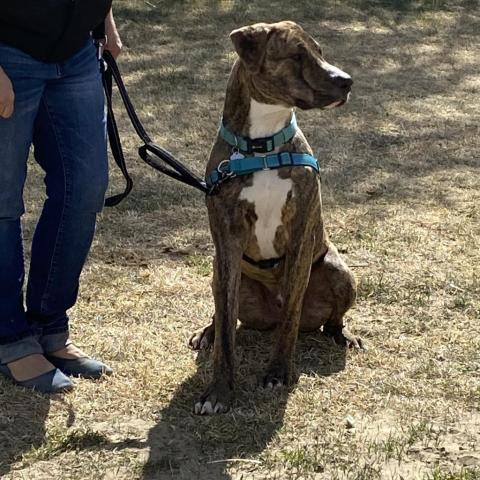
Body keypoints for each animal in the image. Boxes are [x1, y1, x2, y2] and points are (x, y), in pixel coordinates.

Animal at [189, 20, 362, 414]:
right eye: (296, 55)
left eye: (319, 51)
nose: (346, 80)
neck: (262, 147)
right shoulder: (227, 240)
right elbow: (226, 333)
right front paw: (219, 391)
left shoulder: (300, 236)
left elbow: (290, 320)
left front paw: (278, 372)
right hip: (220, 274)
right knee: (223, 314)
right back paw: (207, 333)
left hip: (338, 271)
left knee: (329, 321)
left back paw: (343, 335)